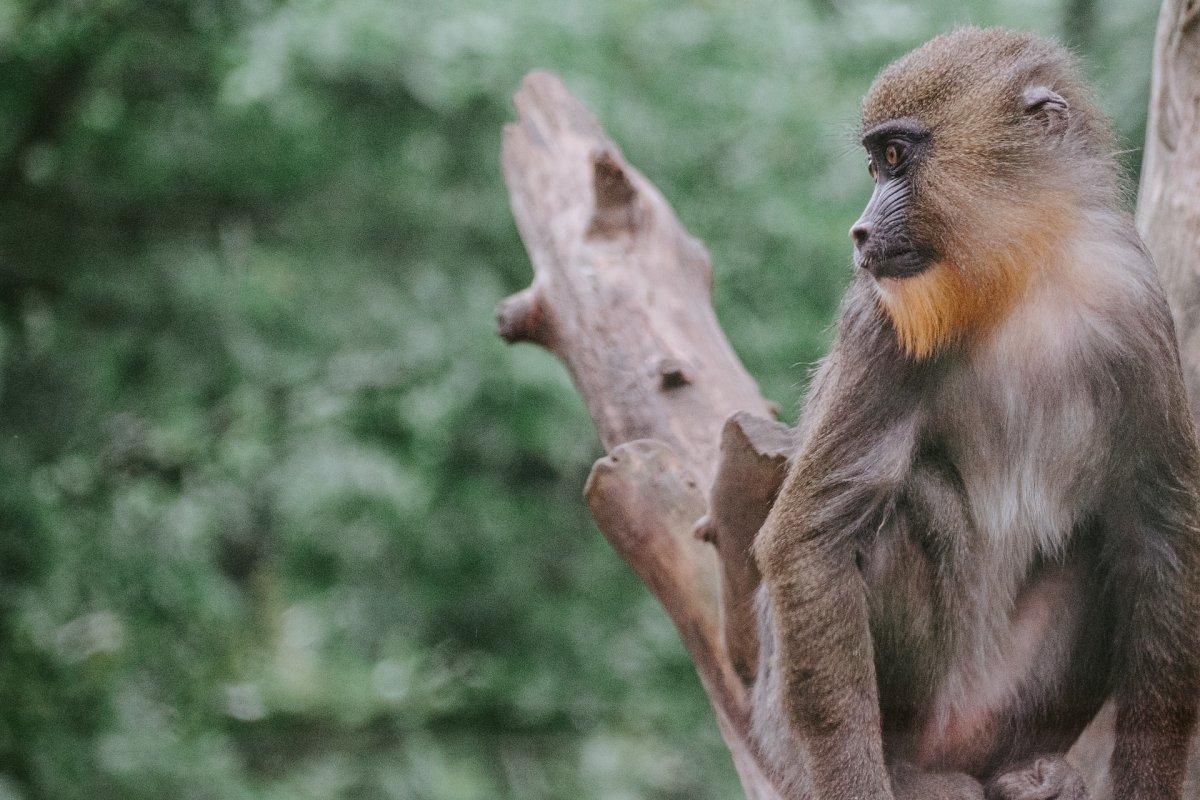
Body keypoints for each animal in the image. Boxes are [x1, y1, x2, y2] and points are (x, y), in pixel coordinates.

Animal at [748, 26, 1200, 800]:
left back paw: (1037, 771)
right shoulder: (879, 325)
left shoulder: (1137, 306)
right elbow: (813, 535)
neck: (1021, 278)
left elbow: (1159, 535)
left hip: (1011, 705)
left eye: (895, 158)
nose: (861, 232)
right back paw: (906, 767)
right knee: (893, 513)